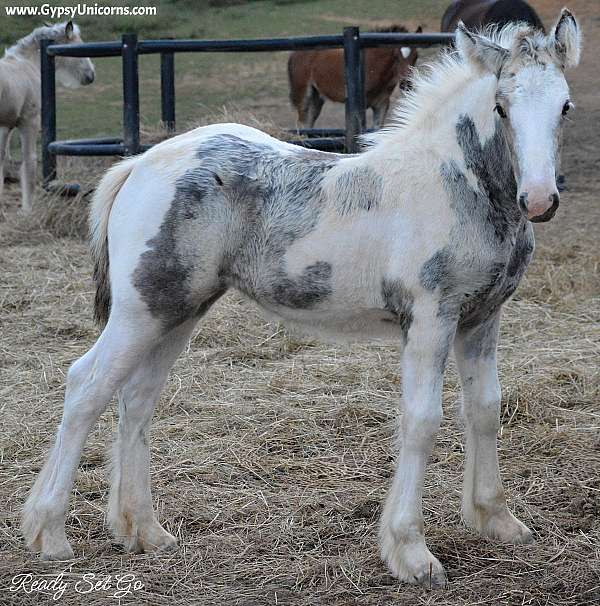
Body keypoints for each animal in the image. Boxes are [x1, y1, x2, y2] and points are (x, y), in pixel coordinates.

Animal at [0, 21, 95, 213]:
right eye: (78, 48)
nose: (91, 76)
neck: (29, 64)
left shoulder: (6, 126)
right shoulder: (29, 121)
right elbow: (29, 164)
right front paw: (28, 211)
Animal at [288, 27, 420, 131]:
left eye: (416, 56)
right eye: (396, 56)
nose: (406, 84)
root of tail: (294, 54)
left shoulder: (382, 104)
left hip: (317, 98)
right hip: (303, 95)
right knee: (302, 123)